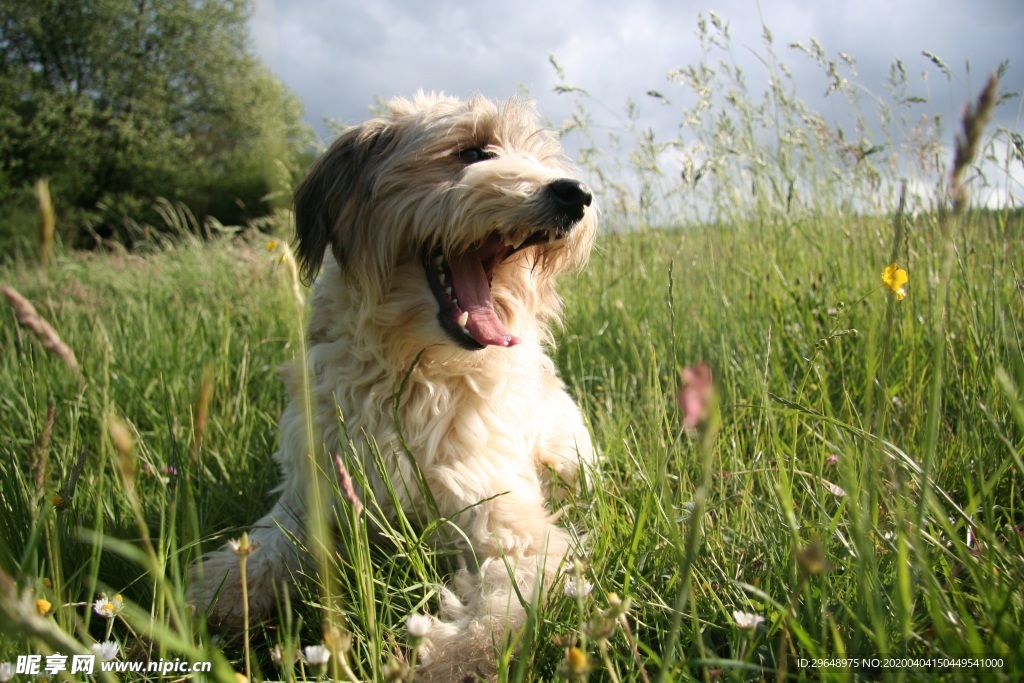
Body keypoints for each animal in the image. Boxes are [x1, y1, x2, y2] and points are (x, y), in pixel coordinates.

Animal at [193, 93, 598, 679]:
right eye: (473, 150)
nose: (576, 194)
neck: (413, 373)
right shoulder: (309, 495)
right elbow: (262, 550)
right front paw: (209, 600)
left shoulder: (509, 522)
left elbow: (499, 604)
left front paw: (448, 659)